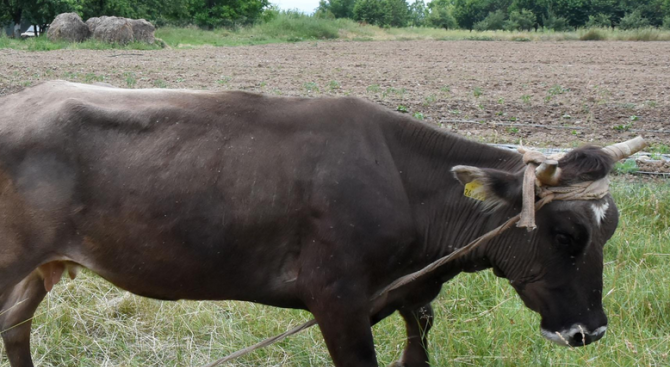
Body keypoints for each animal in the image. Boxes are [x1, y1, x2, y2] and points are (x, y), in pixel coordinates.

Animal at [0, 82, 640, 366]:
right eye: (566, 235)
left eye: (608, 231)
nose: (589, 332)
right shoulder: (336, 298)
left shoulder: (413, 294)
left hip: (38, 264)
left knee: (16, 324)